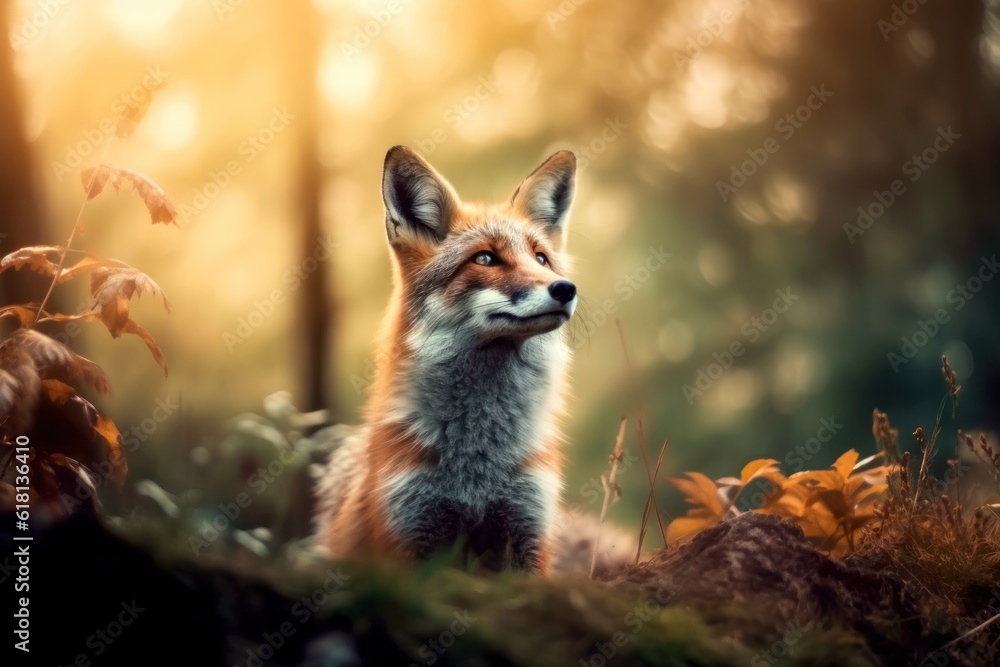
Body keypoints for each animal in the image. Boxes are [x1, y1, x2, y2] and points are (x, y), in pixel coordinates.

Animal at [316, 145, 597, 576]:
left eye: (541, 259)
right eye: (484, 259)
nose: (565, 289)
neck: (477, 469)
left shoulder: (528, 527)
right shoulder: (410, 532)